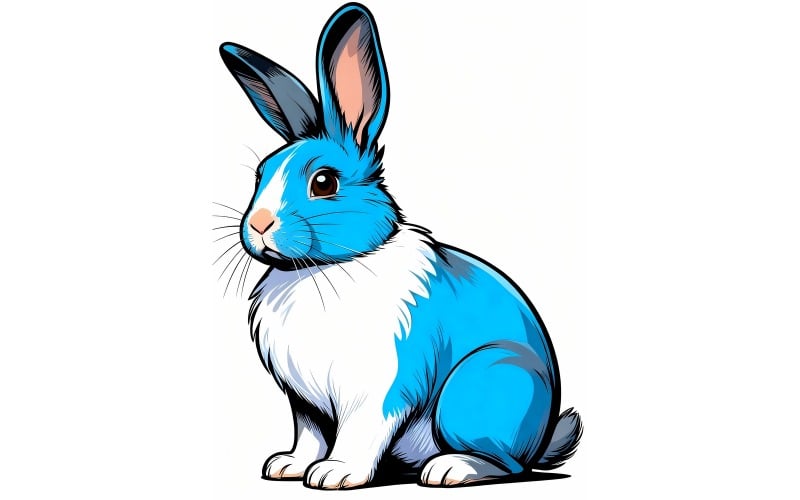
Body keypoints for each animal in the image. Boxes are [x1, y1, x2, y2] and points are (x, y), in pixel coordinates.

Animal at [219, 2, 582, 490]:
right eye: (260, 173)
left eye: (324, 182)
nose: (258, 225)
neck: (320, 268)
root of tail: (541, 438)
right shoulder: (305, 403)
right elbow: (310, 435)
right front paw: (288, 466)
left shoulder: (380, 389)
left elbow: (361, 432)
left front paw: (335, 473)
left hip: (480, 387)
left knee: (508, 464)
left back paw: (450, 469)